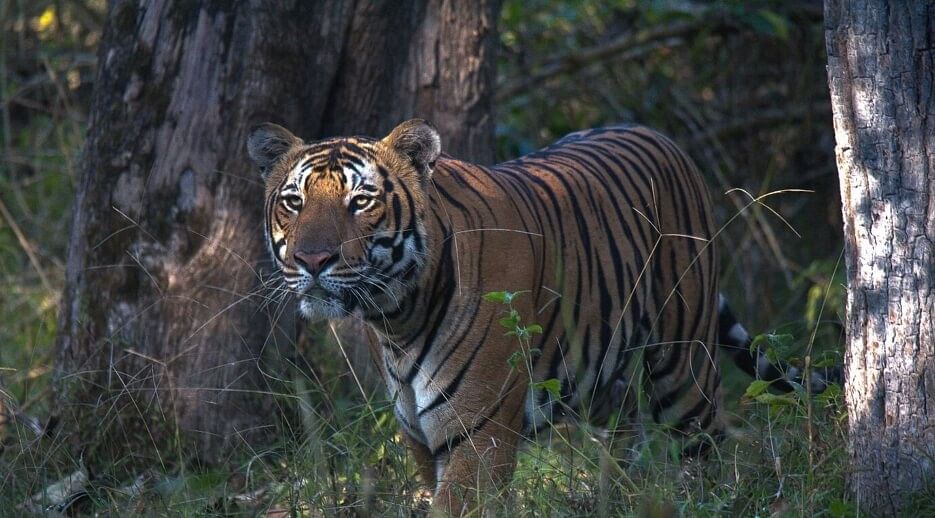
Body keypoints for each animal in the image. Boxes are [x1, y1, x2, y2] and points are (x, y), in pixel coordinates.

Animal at [245, 119, 836, 516]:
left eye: (361, 201)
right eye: (294, 202)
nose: (313, 260)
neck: (396, 317)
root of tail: (659, 134)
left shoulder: (476, 433)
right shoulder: (417, 436)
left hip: (683, 363)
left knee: (702, 441)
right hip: (598, 373)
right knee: (626, 429)